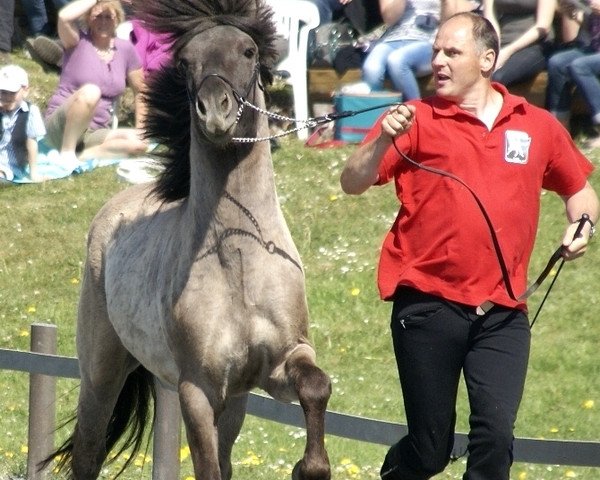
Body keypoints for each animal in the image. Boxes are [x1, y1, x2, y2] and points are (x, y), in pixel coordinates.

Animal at [42, 0, 332, 480]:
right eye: (185, 61)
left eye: (249, 51)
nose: (214, 111)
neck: (238, 260)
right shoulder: (197, 388)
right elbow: (207, 467)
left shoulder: (281, 360)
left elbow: (316, 385)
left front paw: (310, 467)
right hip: (102, 375)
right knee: (87, 451)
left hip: (235, 401)